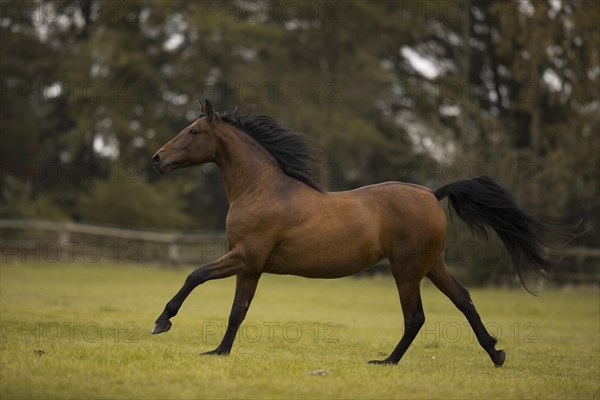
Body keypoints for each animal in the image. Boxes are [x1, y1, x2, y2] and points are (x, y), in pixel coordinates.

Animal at [150, 99, 564, 366]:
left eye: (194, 131)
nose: (157, 159)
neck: (261, 188)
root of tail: (433, 193)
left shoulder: (245, 256)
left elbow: (195, 275)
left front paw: (162, 321)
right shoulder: (251, 266)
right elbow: (238, 311)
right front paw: (219, 352)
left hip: (407, 270)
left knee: (416, 317)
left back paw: (387, 361)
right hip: (433, 265)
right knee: (463, 300)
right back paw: (496, 353)